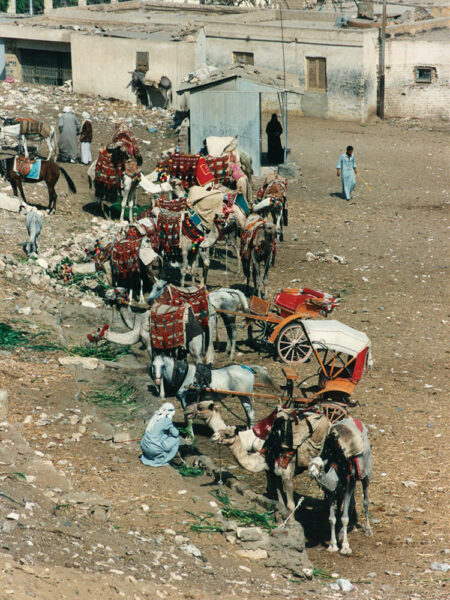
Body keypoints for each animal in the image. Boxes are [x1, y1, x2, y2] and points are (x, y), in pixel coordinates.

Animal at [308, 420, 374, 556]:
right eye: (309, 465)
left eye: (321, 466)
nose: (311, 473)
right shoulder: (332, 490)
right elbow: (331, 518)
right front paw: (333, 545)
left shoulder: (349, 482)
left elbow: (344, 518)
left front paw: (345, 547)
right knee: (349, 503)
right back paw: (341, 532)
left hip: (366, 474)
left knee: (365, 500)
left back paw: (368, 530)